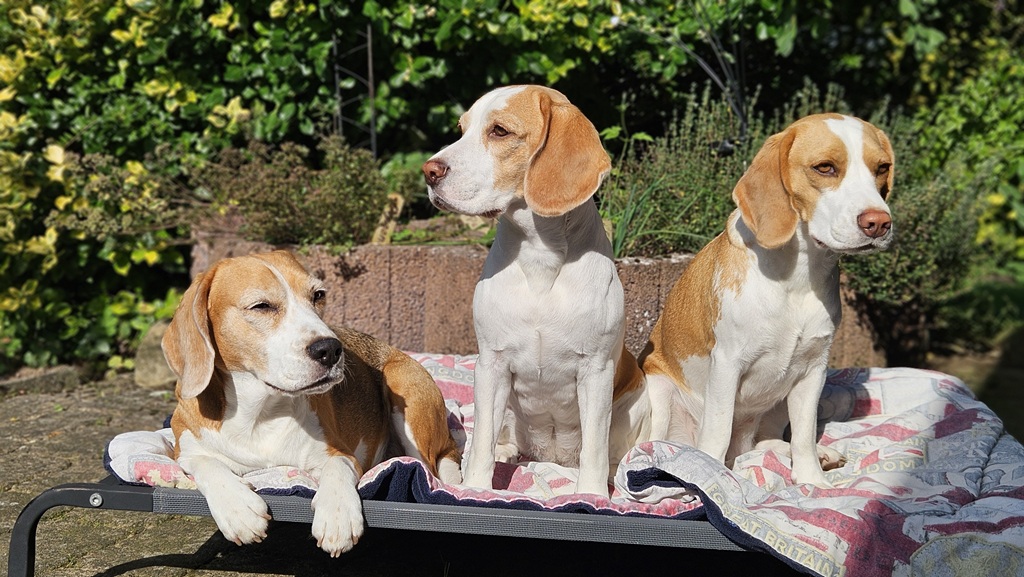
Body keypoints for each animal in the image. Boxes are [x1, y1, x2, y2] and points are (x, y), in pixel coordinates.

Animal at [162, 250, 461, 556]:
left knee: (433, 465)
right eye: (261, 306)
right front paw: (237, 509)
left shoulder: (338, 453)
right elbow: (208, 464)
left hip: (402, 385)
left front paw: (337, 515)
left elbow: (337, 470)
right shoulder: (184, 450)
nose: (330, 349)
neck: (261, 413)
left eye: (318, 295)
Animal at [421, 85, 649, 497]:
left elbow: (594, 450)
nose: (429, 171)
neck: (540, 257)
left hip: (636, 402)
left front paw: (592, 496)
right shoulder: (491, 364)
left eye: (499, 131)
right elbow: (482, 442)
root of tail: (552, 457)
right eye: (461, 129)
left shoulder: (596, 372)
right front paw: (477, 490)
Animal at [641, 113, 895, 487]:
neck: (798, 279)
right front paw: (710, 480)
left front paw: (812, 481)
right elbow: (717, 432)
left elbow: (803, 436)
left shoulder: (813, 371)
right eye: (825, 167)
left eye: (882, 168)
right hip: (658, 394)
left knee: (765, 445)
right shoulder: (727, 365)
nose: (879, 223)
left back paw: (819, 455)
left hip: (777, 403)